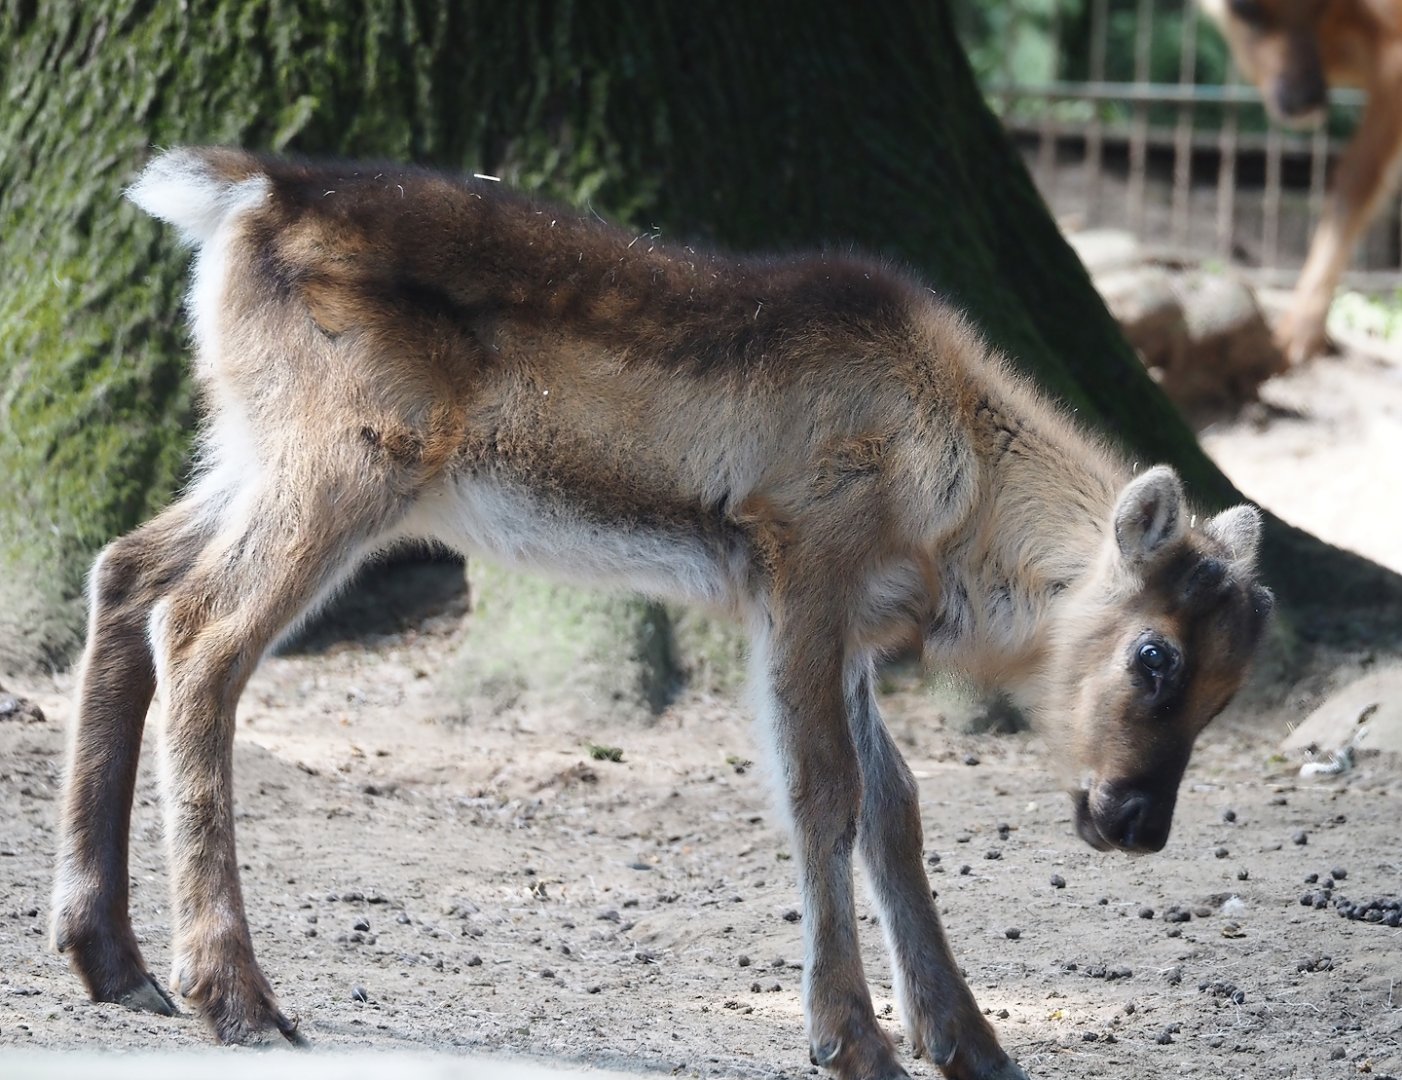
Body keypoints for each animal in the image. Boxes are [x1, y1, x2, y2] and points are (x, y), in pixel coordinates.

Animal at [51, 148, 1273, 1080]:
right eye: (1154, 654)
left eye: (1231, 690)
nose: (1135, 822)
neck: (950, 513)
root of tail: (244, 193)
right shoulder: (802, 566)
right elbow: (823, 796)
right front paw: (853, 1042)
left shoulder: (847, 626)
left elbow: (897, 806)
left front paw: (970, 1042)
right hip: (344, 460)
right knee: (199, 630)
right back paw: (235, 995)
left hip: (248, 448)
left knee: (125, 571)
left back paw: (112, 959)